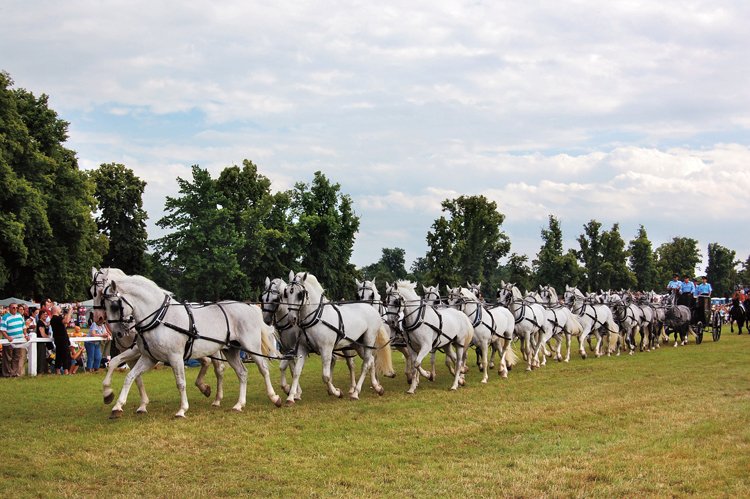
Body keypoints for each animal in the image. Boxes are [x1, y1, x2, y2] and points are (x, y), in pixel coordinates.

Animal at [89, 270, 223, 414]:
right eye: (91, 292)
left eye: (100, 292)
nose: (98, 318)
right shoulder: (138, 353)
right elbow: (131, 374)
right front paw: (139, 404)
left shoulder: (135, 350)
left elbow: (117, 364)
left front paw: (109, 394)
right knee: (206, 361)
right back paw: (204, 388)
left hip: (213, 349)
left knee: (218, 369)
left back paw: (216, 399)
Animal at [101, 274, 284, 418]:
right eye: (105, 305)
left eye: (115, 306)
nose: (117, 334)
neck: (159, 318)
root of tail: (250, 307)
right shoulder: (149, 358)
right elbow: (129, 377)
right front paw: (117, 405)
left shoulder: (175, 357)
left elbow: (180, 382)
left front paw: (182, 409)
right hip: (231, 350)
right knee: (242, 373)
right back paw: (239, 404)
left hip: (251, 347)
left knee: (263, 369)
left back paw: (275, 397)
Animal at [284, 272, 394, 404]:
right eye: (286, 293)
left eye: (300, 294)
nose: (291, 318)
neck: (317, 317)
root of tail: (372, 309)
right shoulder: (302, 348)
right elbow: (296, 372)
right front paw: (291, 397)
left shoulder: (326, 349)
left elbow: (326, 376)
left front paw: (336, 392)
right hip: (357, 344)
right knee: (371, 361)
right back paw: (377, 387)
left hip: (369, 340)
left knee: (366, 364)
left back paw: (356, 392)